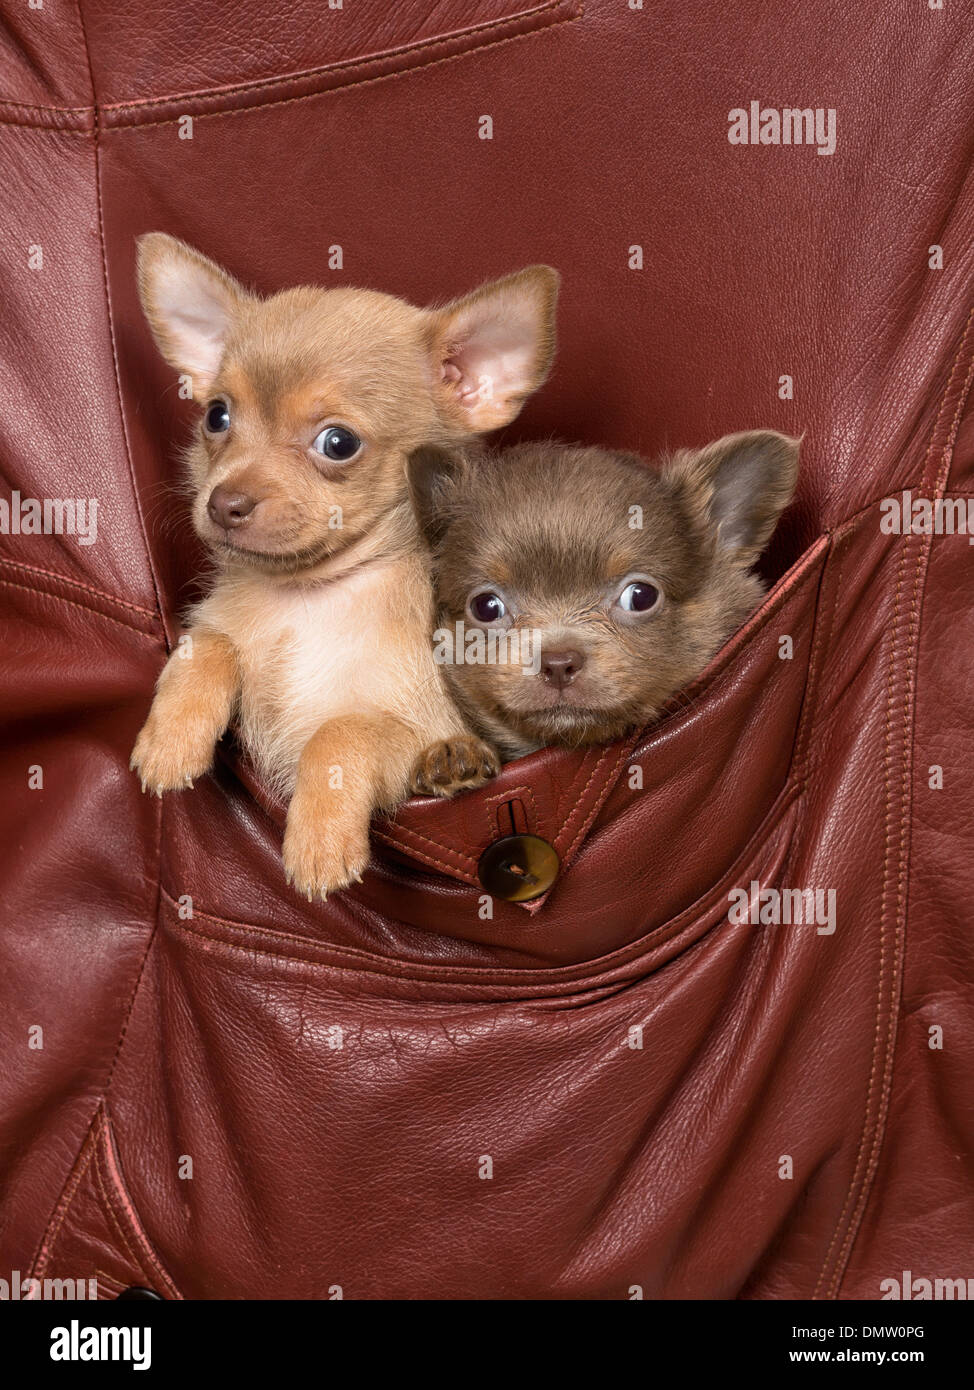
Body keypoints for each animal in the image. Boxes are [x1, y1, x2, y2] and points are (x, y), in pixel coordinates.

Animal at [129, 233, 555, 895]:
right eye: (217, 416)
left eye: (338, 443)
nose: (223, 503)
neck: (311, 596)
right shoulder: (224, 632)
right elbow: (210, 643)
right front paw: (170, 738)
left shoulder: (408, 727)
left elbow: (337, 733)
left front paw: (318, 843)